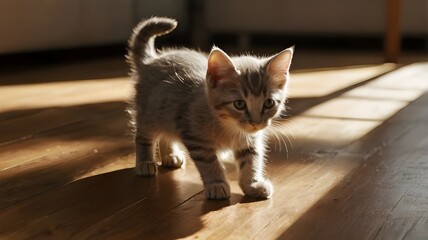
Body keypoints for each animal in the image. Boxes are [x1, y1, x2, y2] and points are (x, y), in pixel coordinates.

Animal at [128, 16, 294, 200]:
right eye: (239, 104)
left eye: (269, 103)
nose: (256, 123)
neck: (229, 126)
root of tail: (149, 61)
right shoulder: (195, 137)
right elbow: (209, 162)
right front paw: (216, 184)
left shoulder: (250, 140)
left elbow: (251, 160)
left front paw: (252, 184)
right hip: (149, 113)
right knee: (143, 135)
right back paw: (145, 162)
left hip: (166, 111)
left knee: (167, 133)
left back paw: (170, 156)